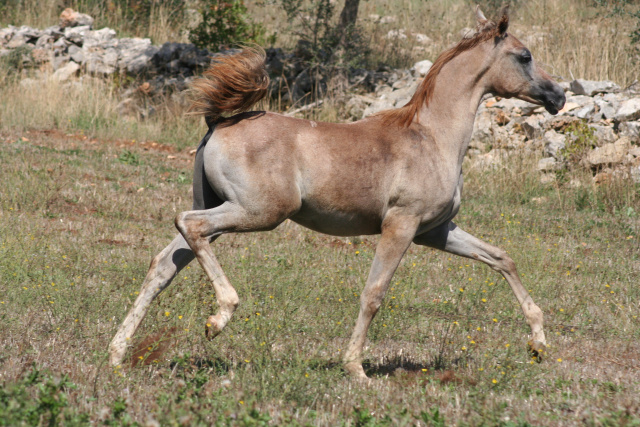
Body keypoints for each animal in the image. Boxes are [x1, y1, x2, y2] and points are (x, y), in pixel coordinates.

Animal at [109, 6, 564, 380]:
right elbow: (374, 294)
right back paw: (218, 318)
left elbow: (501, 258)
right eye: (524, 56)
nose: (558, 95)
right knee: (188, 226)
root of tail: (219, 124)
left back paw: (117, 353)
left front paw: (538, 344)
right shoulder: (401, 224)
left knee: (164, 263)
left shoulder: (434, 230)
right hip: (258, 212)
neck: (432, 137)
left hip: (224, 209)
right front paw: (355, 369)